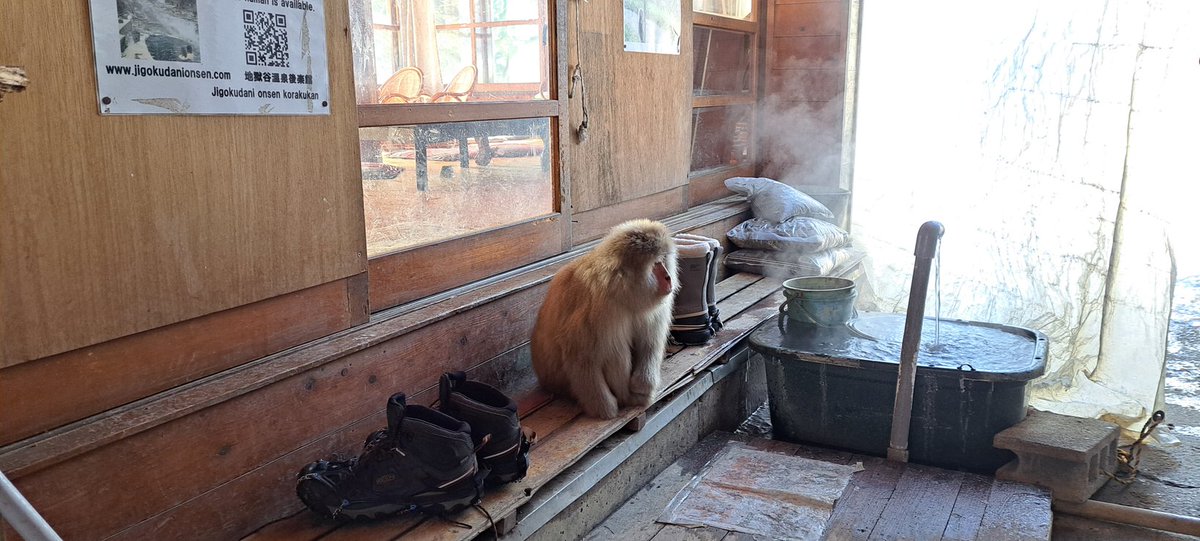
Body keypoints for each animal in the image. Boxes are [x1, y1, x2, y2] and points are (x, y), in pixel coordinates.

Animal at [531, 219, 679, 419]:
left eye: (662, 261)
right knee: (613, 349)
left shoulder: (656, 306)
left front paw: (643, 385)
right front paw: (604, 408)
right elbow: (581, 356)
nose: (668, 278)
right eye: (655, 264)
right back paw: (625, 397)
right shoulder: (601, 309)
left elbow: (649, 343)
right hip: (557, 381)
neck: (623, 292)